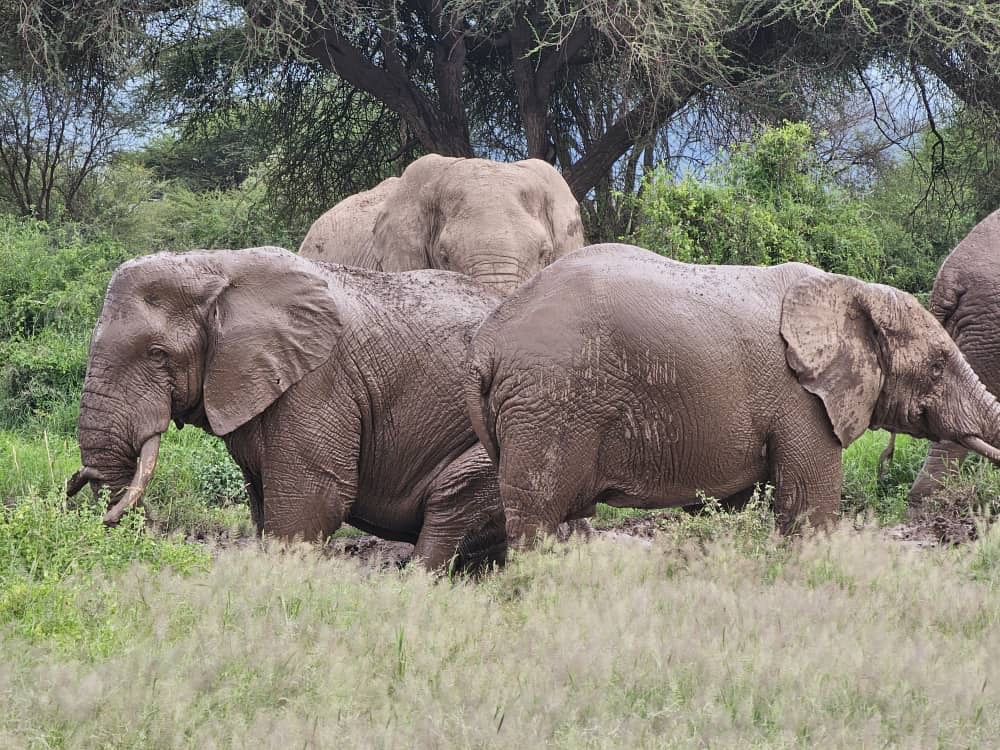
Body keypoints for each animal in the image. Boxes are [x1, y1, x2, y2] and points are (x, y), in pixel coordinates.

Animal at [66, 247, 506, 570]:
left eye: (158, 355)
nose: (75, 485)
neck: (216, 267)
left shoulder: (319, 381)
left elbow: (313, 502)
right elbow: (263, 502)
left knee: (451, 506)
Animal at [465, 243, 1000, 545]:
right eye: (937, 366)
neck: (848, 291)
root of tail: (485, 344)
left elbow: (733, 507)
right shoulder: (800, 399)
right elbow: (808, 507)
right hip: (549, 407)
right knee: (535, 517)